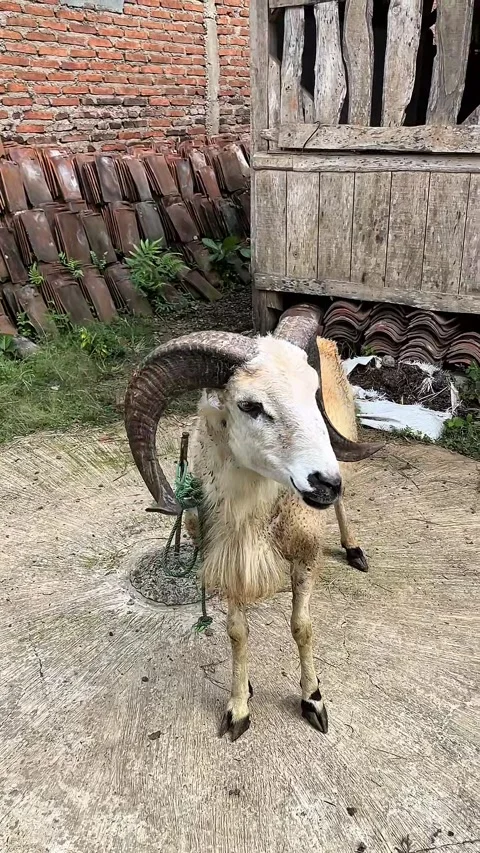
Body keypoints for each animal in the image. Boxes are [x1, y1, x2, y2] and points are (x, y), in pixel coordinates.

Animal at [124, 304, 381, 740]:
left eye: (313, 394)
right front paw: (239, 706)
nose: (325, 483)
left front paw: (313, 700)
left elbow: (302, 626)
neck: (253, 518)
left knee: (344, 509)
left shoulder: (306, 555)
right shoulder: (227, 563)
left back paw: (353, 549)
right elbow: (236, 633)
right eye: (249, 406)